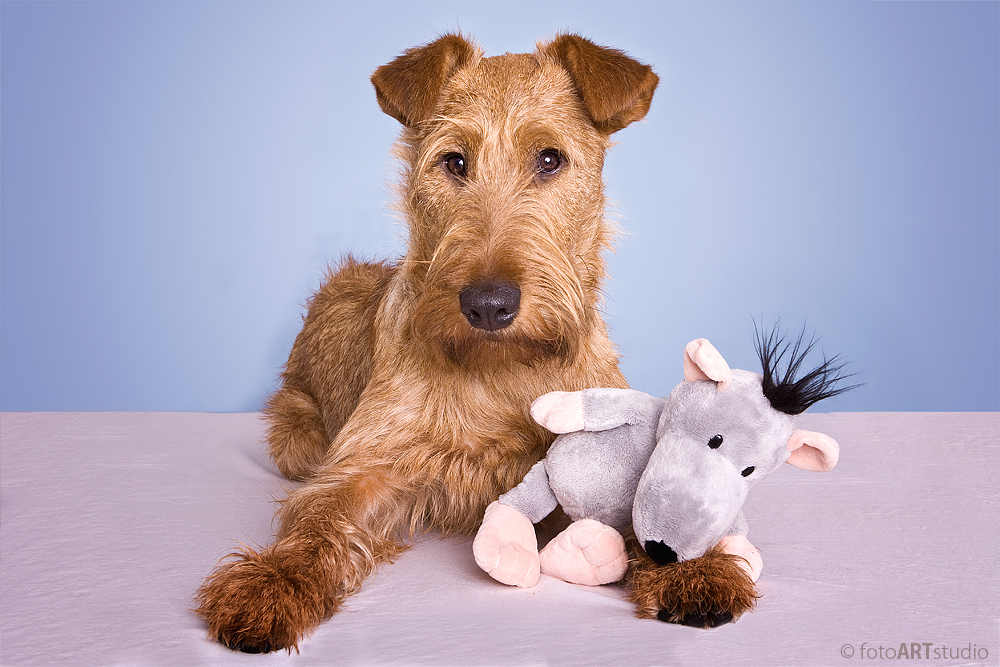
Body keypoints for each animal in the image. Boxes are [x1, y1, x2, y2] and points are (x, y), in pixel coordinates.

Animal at [197, 31, 752, 652]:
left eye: (550, 159)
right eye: (454, 162)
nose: (488, 304)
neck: (500, 368)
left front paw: (689, 566)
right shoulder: (365, 466)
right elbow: (317, 522)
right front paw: (272, 583)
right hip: (296, 432)